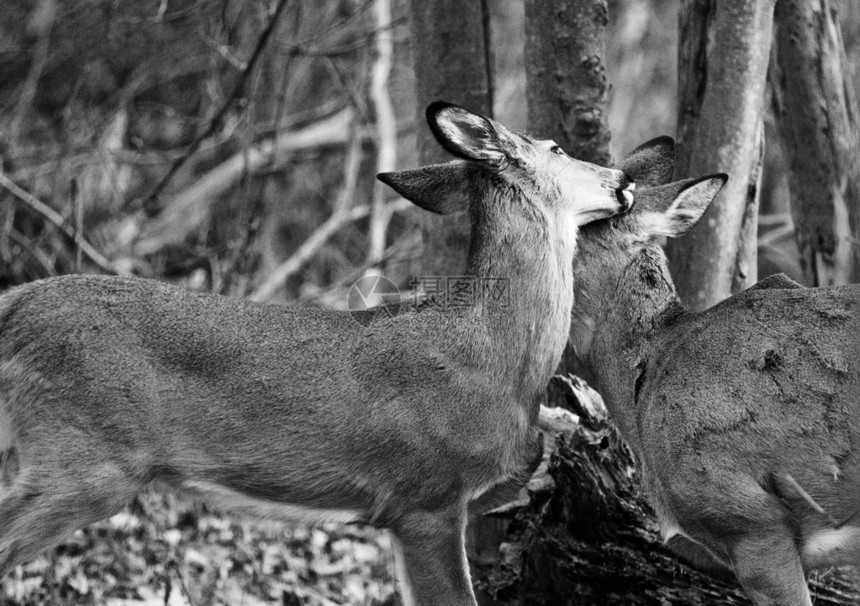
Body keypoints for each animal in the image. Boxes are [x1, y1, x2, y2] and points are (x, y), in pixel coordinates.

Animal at [0, 102, 632, 604]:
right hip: (85, 458)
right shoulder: (424, 498)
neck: (497, 362)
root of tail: (15, 306)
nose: (623, 178)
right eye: (556, 148)